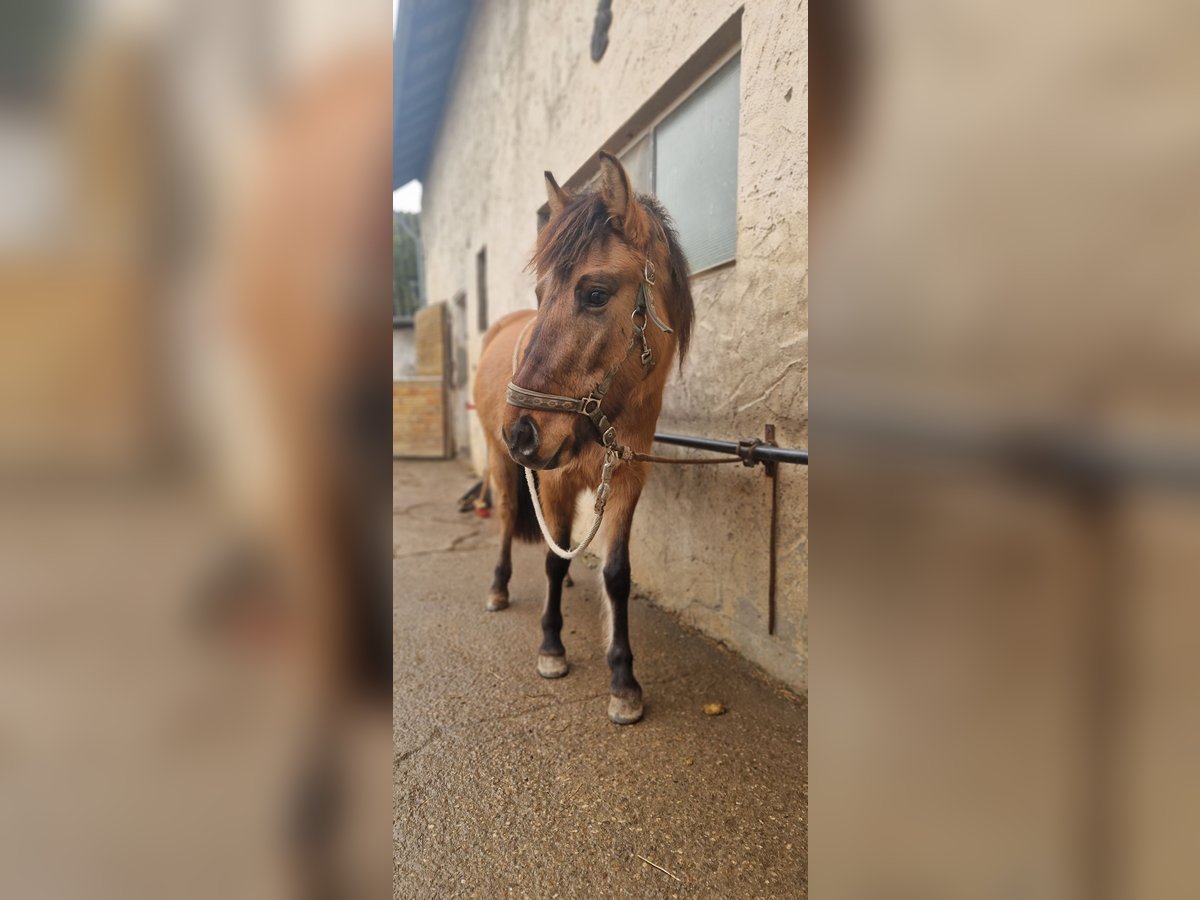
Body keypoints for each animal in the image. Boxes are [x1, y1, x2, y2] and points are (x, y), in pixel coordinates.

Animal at [470, 153, 696, 724]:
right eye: (540, 295)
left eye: (595, 294)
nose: (520, 430)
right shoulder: (551, 479)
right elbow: (551, 559)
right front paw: (552, 646)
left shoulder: (627, 481)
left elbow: (616, 573)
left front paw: (623, 679)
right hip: (502, 462)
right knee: (508, 517)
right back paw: (498, 587)